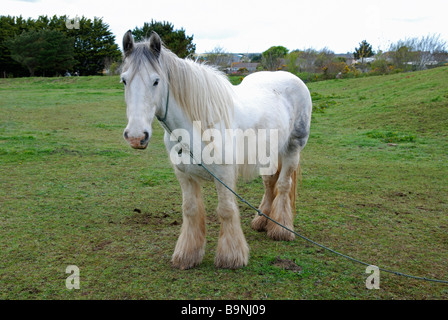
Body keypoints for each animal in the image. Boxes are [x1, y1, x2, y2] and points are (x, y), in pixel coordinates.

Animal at [121, 31, 312, 268]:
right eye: (124, 80)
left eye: (156, 81)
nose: (136, 137)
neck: (198, 126)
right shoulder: (184, 175)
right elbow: (190, 210)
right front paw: (188, 254)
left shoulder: (224, 174)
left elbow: (226, 210)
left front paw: (231, 256)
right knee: (270, 184)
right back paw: (262, 221)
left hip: (292, 149)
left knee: (284, 185)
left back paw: (280, 229)